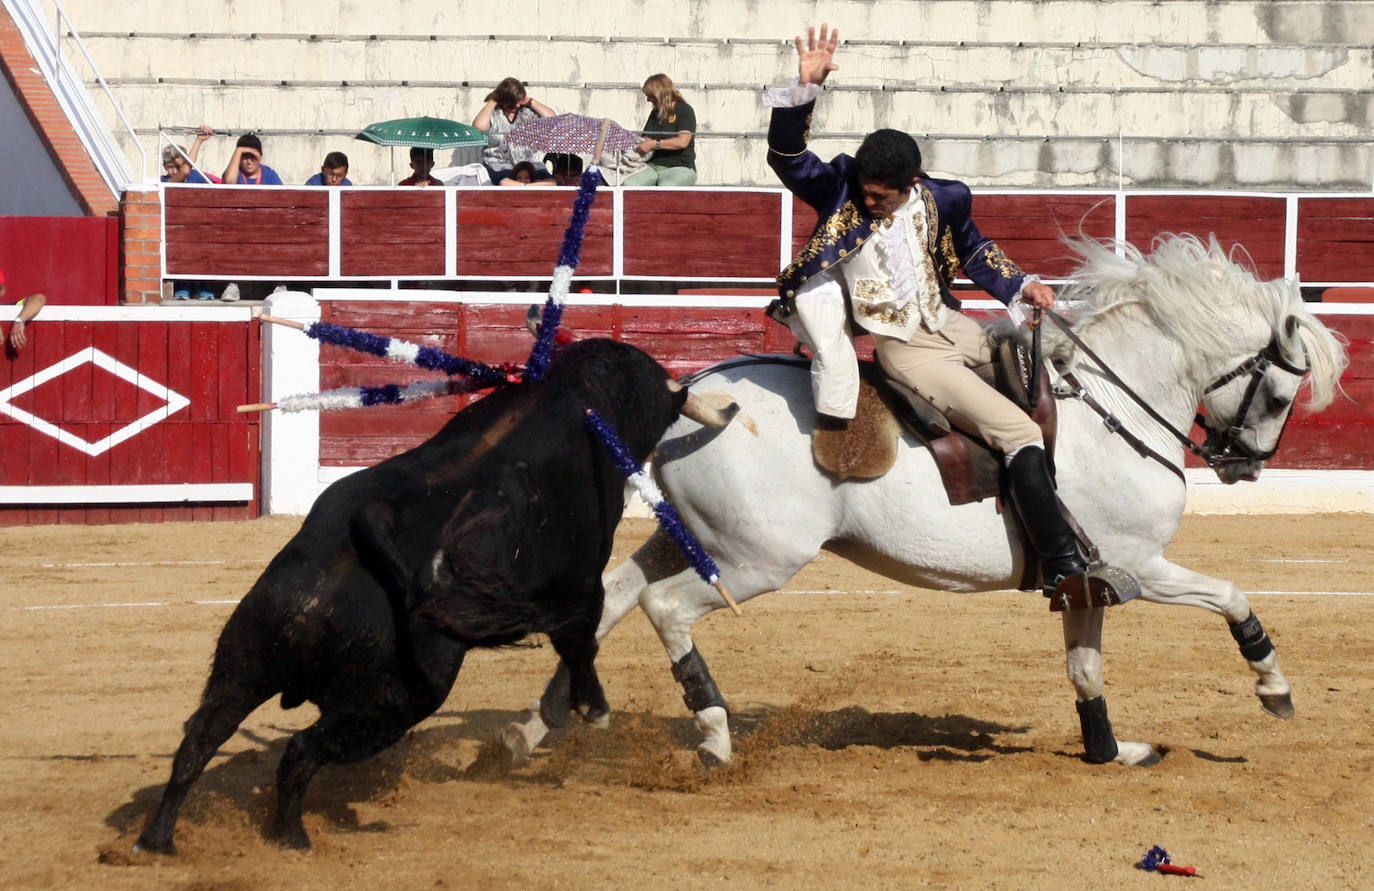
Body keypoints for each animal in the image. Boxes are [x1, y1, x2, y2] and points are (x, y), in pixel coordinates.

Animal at [138, 339, 692, 847]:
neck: (571, 392)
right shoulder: (578, 582)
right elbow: (581, 644)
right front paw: (593, 710)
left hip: (247, 657)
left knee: (200, 738)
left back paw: (157, 840)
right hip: (396, 701)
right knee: (300, 751)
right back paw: (291, 836)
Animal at [502, 235, 1341, 764]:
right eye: (1281, 391)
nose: (1245, 465)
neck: (1114, 404)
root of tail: (692, 393)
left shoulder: (1086, 581)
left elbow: (1085, 670)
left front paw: (1110, 751)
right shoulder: (1142, 564)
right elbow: (1231, 595)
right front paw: (1274, 686)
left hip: (687, 534)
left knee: (611, 596)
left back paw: (530, 730)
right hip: (753, 559)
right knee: (665, 606)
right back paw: (711, 731)